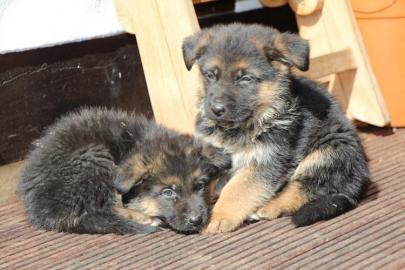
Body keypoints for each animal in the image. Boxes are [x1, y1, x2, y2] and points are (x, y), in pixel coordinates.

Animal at [19, 107, 229, 234]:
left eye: (200, 186)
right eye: (168, 192)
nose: (196, 220)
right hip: (94, 157)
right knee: (96, 209)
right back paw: (143, 218)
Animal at [183, 23, 370, 234]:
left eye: (245, 79)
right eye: (210, 75)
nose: (216, 110)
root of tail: (357, 184)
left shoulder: (265, 160)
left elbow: (236, 189)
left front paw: (218, 217)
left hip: (330, 151)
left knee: (304, 189)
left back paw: (267, 208)